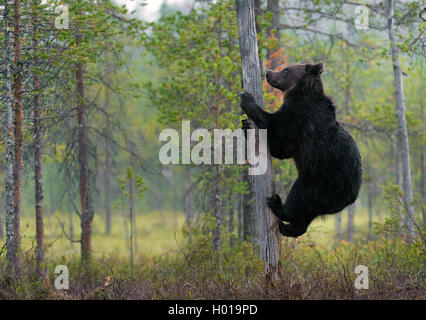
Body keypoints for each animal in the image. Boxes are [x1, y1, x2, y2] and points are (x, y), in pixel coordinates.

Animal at [240, 62, 362, 238]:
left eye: (286, 69)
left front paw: (246, 99)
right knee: (305, 214)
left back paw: (277, 204)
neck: (300, 93)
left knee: (298, 197)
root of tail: (351, 198)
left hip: (319, 181)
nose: (268, 73)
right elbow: (281, 148)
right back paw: (287, 227)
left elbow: (278, 136)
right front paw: (245, 125)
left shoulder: (299, 116)